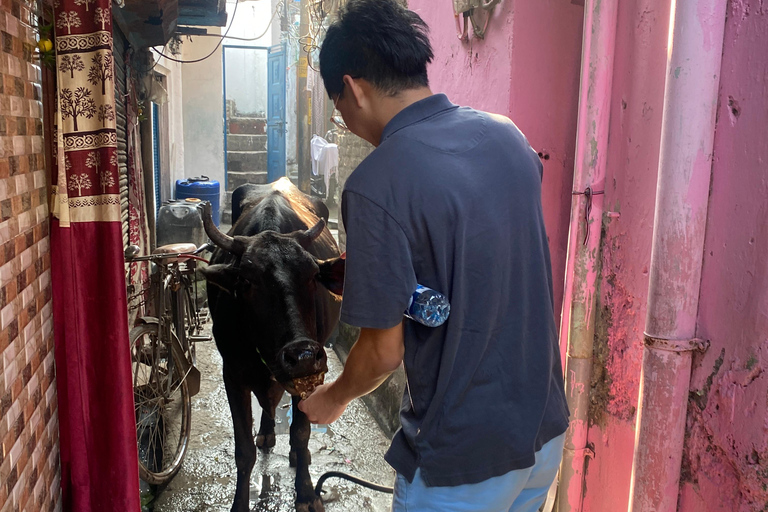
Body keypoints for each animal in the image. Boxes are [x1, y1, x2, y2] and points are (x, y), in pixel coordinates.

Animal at [200, 177, 344, 512]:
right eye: (247, 280)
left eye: (313, 275)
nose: (302, 355)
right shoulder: (232, 373)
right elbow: (243, 451)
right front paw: (239, 504)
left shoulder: (310, 377)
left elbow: (302, 432)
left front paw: (306, 493)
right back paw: (266, 433)